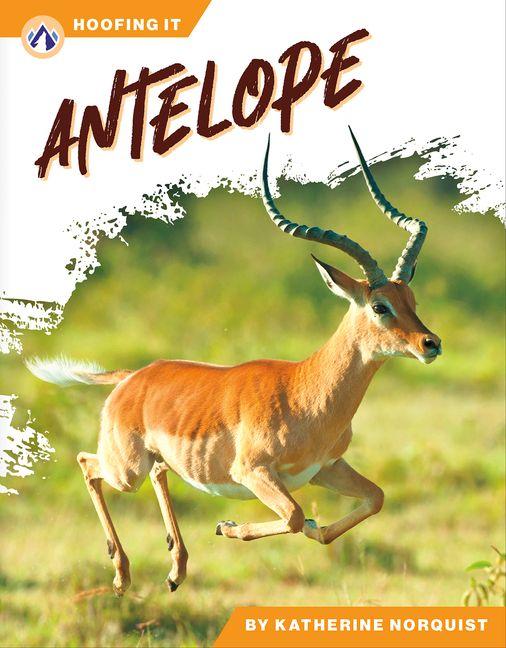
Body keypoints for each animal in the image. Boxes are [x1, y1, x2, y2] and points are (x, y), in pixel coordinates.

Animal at [26, 129, 442, 596]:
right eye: (379, 306)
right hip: (125, 469)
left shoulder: (325, 468)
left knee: (155, 473)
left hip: (151, 463)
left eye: (411, 300)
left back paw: (175, 570)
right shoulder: (254, 472)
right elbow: (292, 515)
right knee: (87, 464)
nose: (430, 344)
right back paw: (122, 576)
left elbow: (373, 499)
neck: (305, 393)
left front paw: (315, 528)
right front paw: (227, 526)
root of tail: (134, 378)